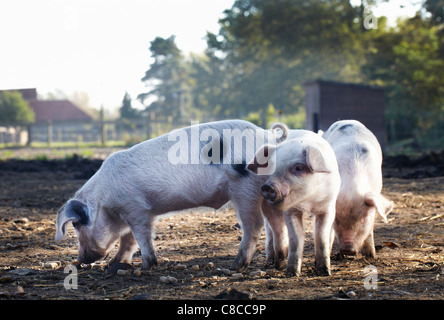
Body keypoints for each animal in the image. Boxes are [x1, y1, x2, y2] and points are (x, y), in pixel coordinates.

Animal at [53, 120, 290, 272]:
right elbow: (128, 240)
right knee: (275, 221)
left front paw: (147, 266)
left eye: (76, 226)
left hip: (245, 188)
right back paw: (276, 262)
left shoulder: (135, 208)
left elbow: (140, 236)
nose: (81, 258)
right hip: (264, 191)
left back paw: (236, 266)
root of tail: (270, 138)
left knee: (254, 225)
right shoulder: (137, 210)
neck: (104, 202)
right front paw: (114, 265)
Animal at [246, 129, 340, 276]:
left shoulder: (328, 207)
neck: (308, 201)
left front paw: (324, 272)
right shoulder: (291, 211)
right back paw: (272, 262)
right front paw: (291, 273)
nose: (267, 186)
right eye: (271, 167)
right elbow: (295, 239)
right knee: (272, 232)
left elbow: (321, 237)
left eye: (298, 168)